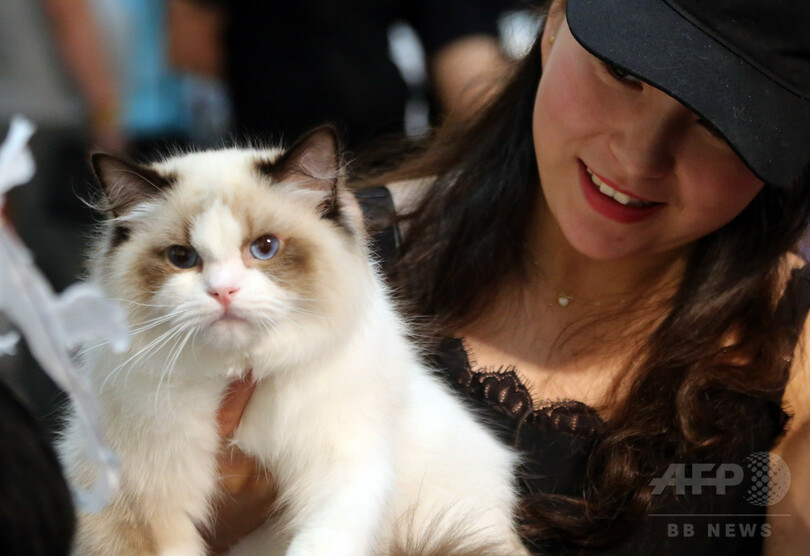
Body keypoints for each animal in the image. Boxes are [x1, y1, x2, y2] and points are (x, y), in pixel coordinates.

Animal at [56, 128, 524, 556]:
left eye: (265, 248)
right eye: (182, 258)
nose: (223, 292)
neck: (240, 371)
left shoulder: (341, 464)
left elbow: (323, 540)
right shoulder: (148, 498)